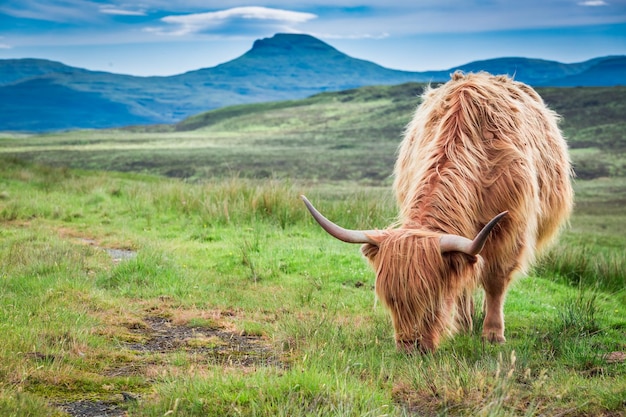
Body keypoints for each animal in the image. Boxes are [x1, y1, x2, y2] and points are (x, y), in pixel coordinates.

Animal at [302, 71, 572, 352]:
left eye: (433, 298)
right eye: (391, 300)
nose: (410, 348)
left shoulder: (511, 229)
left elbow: (495, 280)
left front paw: (493, 334)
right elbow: (463, 281)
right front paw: (464, 325)